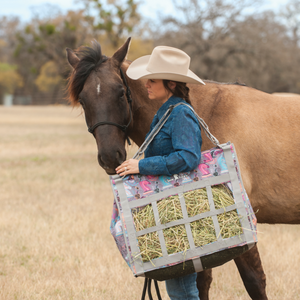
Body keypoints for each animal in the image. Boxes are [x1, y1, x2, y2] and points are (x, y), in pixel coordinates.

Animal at [65, 37, 300, 300]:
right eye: (83, 100)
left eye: (120, 93)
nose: (109, 157)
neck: (202, 111)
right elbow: (201, 282)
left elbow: (254, 282)